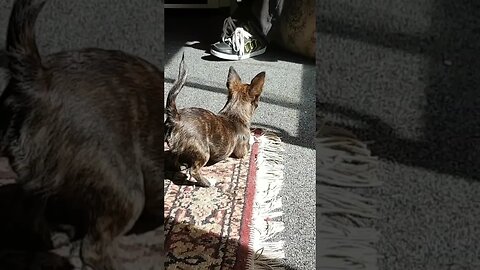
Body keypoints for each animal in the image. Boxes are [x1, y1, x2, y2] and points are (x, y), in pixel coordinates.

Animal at [163, 54, 264, 187]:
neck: (234, 113)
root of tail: (177, 117)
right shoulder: (242, 152)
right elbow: (250, 144)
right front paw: (255, 139)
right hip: (204, 152)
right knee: (193, 170)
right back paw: (207, 182)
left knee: (173, 161)